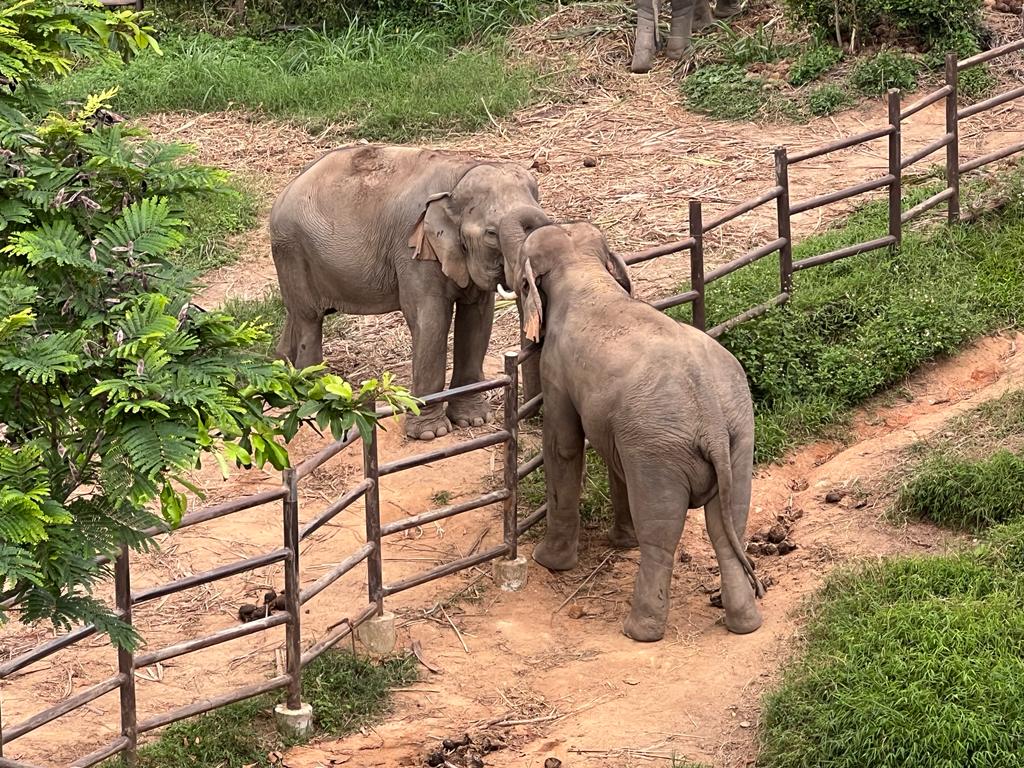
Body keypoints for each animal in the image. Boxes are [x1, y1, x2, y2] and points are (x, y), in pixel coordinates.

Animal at [268, 145, 548, 442]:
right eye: (492, 234)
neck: (460, 174)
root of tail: (287, 188)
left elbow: (477, 319)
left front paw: (474, 420)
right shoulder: (412, 251)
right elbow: (431, 320)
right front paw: (431, 434)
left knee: (296, 313)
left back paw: (284, 374)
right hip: (292, 250)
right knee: (309, 318)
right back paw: (312, 392)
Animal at [516, 222, 765, 643]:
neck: (585, 272)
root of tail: (712, 422)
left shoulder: (556, 368)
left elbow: (563, 445)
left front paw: (548, 562)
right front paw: (620, 542)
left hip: (659, 451)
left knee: (660, 537)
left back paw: (639, 632)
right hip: (737, 436)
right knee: (728, 523)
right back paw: (746, 625)